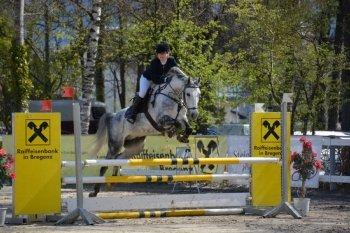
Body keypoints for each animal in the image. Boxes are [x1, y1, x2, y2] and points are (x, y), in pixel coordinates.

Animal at [89, 67, 201, 197]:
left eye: (199, 94)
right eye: (188, 94)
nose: (194, 115)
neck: (172, 98)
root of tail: (112, 116)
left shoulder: (182, 118)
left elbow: (188, 127)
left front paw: (182, 137)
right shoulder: (161, 120)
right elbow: (175, 123)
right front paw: (173, 132)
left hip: (136, 146)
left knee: (118, 158)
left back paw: (112, 182)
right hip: (115, 144)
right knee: (105, 164)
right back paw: (95, 191)